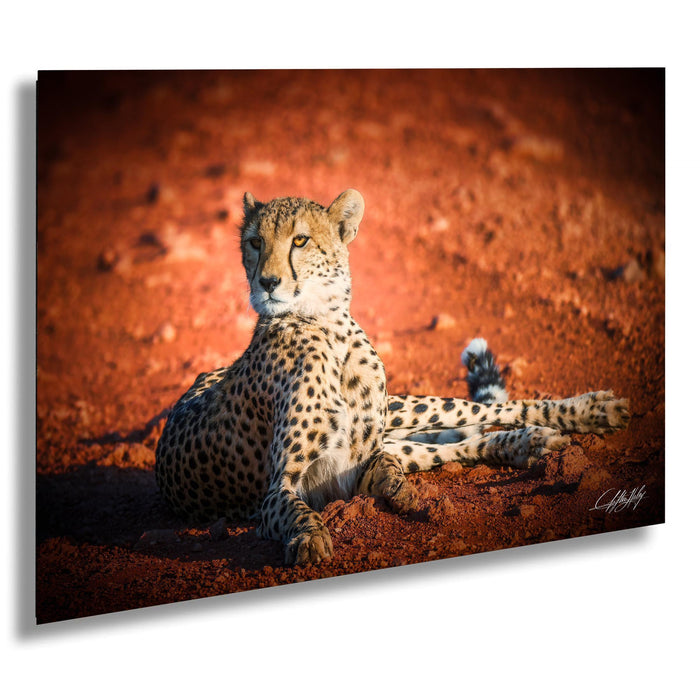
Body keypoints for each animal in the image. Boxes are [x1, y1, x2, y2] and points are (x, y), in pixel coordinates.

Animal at [155, 189, 630, 566]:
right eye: (255, 242)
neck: (326, 326)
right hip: (402, 430)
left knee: (482, 412)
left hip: (406, 408)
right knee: (452, 443)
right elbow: (300, 510)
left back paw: (589, 412)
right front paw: (310, 538)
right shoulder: (291, 487)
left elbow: (385, 463)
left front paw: (395, 487)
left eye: (300, 240)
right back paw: (527, 444)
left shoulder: (359, 458)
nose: (267, 282)